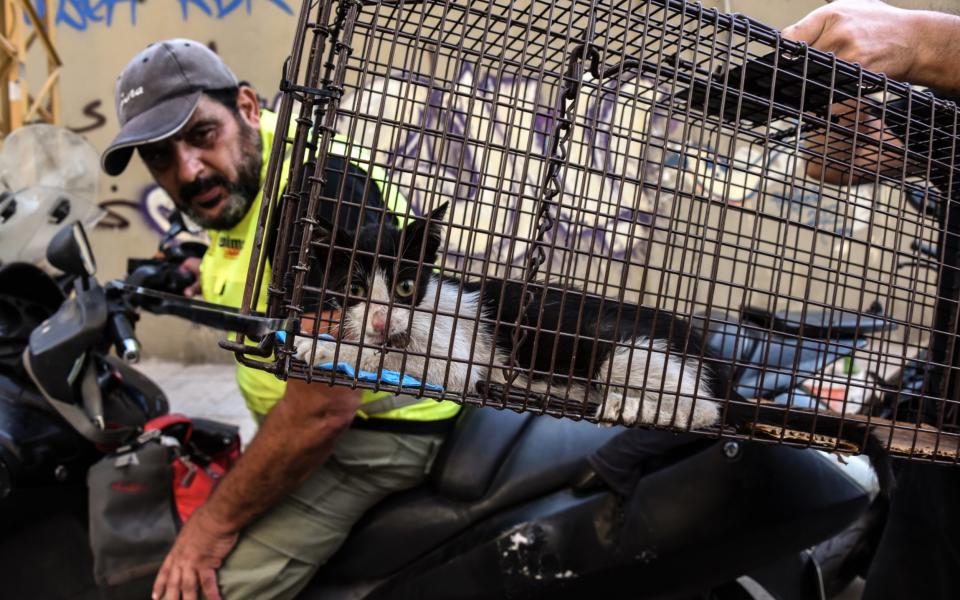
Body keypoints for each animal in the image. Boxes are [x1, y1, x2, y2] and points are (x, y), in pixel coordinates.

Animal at [296, 204, 724, 428]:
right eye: (354, 290)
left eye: (404, 286)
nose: (381, 321)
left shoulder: (454, 358)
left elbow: (399, 358)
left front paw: (323, 347)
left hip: (621, 350)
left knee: (705, 408)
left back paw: (633, 407)